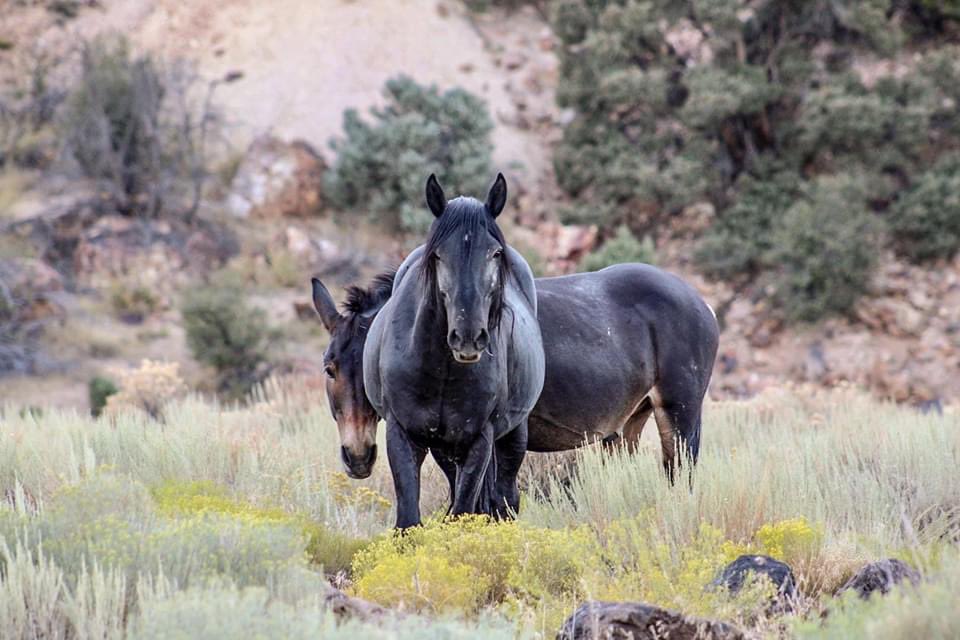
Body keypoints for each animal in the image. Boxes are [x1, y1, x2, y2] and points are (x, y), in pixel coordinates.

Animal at [358, 174, 545, 528]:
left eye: (495, 253)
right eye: (438, 255)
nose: (468, 337)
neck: (439, 369)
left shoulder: (479, 440)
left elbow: (464, 511)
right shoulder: (402, 435)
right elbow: (408, 520)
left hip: (512, 436)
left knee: (505, 498)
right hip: (444, 449)